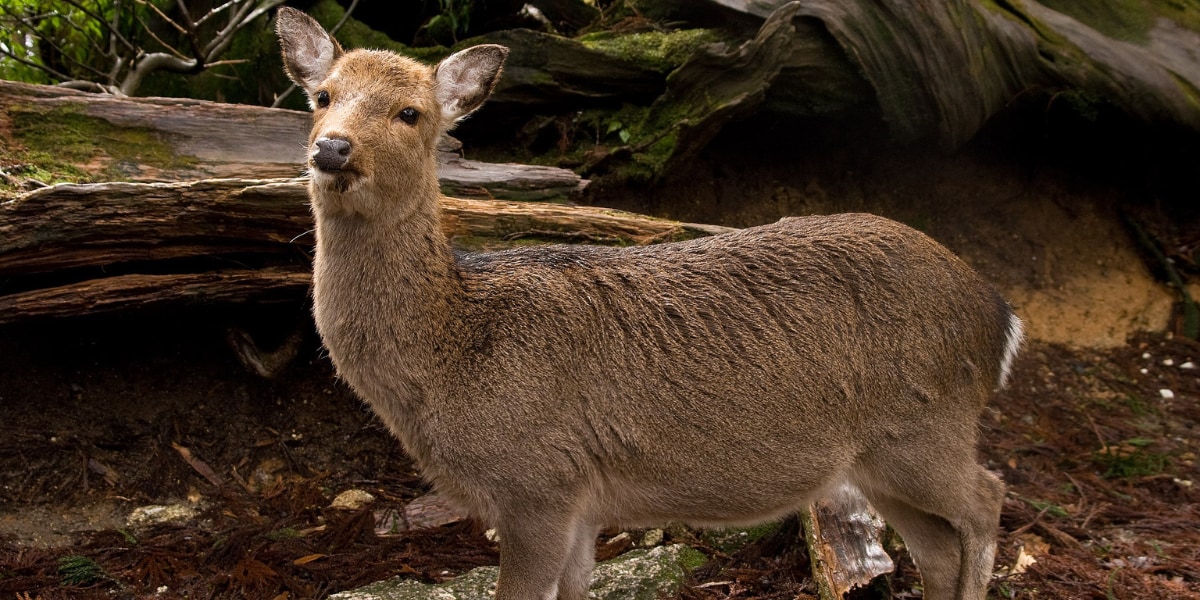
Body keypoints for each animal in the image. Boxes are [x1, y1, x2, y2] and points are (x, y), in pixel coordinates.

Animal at [278, 8, 1022, 600]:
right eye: (322, 95)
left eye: (411, 113)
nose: (332, 147)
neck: (451, 356)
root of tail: (999, 314)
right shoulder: (579, 506)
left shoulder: (538, 485)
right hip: (880, 458)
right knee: (939, 547)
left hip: (926, 426)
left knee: (987, 500)